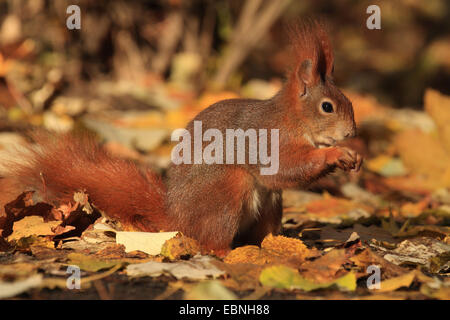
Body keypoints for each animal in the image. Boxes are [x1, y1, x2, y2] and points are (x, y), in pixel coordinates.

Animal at [0, 20, 360, 255]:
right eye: (327, 107)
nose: (351, 133)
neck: (292, 119)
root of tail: (178, 220)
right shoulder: (267, 143)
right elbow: (284, 170)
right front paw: (336, 154)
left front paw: (353, 155)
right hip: (226, 193)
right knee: (211, 243)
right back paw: (230, 253)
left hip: (270, 206)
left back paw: (277, 246)